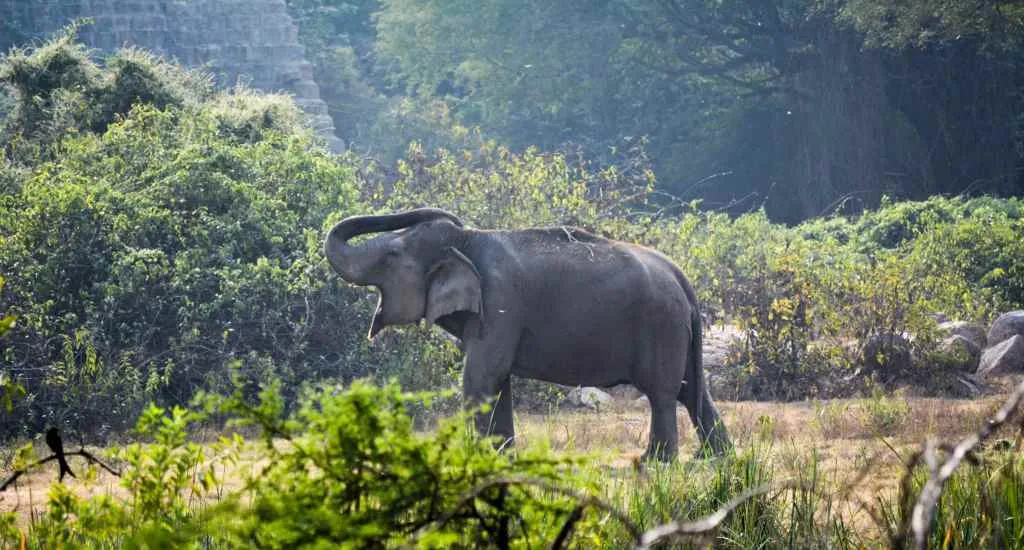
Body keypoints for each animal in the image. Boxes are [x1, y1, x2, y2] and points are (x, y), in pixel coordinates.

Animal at [324, 208, 731, 461]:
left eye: (391, 256)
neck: (468, 240)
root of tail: (683, 279)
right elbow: (496, 380)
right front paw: (501, 456)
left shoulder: (501, 303)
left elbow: (479, 378)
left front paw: (474, 456)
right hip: (674, 330)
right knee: (690, 390)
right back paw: (716, 457)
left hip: (659, 325)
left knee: (661, 392)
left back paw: (654, 462)